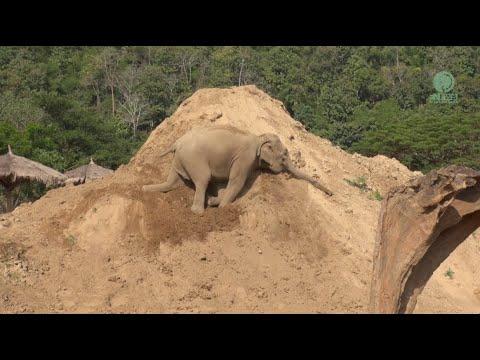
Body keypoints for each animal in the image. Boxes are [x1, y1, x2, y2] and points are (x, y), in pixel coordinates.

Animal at [141, 125, 332, 214]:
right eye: (284, 156)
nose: (331, 193)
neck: (259, 137)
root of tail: (176, 143)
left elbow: (222, 184)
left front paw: (214, 201)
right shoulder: (245, 158)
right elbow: (236, 182)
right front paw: (222, 208)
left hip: (179, 160)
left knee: (171, 182)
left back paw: (144, 189)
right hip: (193, 159)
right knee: (203, 179)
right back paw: (198, 211)